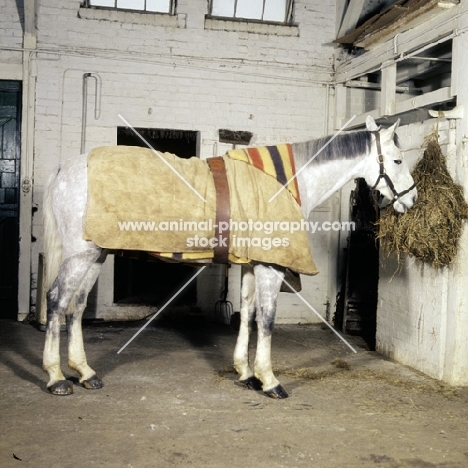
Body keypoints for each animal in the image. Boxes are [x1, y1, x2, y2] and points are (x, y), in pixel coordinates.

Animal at [42, 117, 418, 398]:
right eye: (398, 160)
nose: (411, 199)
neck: (285, 183)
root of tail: (63, 169)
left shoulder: (251, 264)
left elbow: (247, 315)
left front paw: (246, 373)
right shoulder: (270, 266)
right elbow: (266, 319)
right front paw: (269, 380)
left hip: (96, 253)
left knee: (76, 305)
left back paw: (85, 372)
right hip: (80, 254)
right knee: (57, 300)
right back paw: (56, 377)